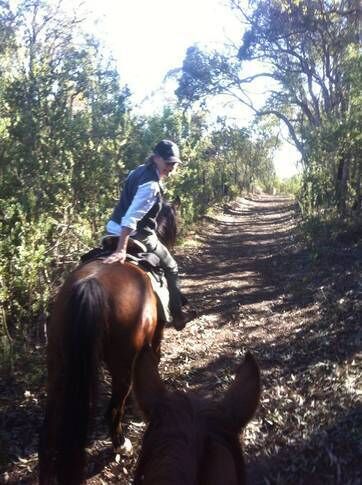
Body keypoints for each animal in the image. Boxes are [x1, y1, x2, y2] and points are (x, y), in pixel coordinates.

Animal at [39, 201, 177, 484]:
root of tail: (90, 285)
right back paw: (122, 445)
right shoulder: (155, 336)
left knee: (48, 432)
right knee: (113, 409)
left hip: (57, 361)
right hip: (122, 365)